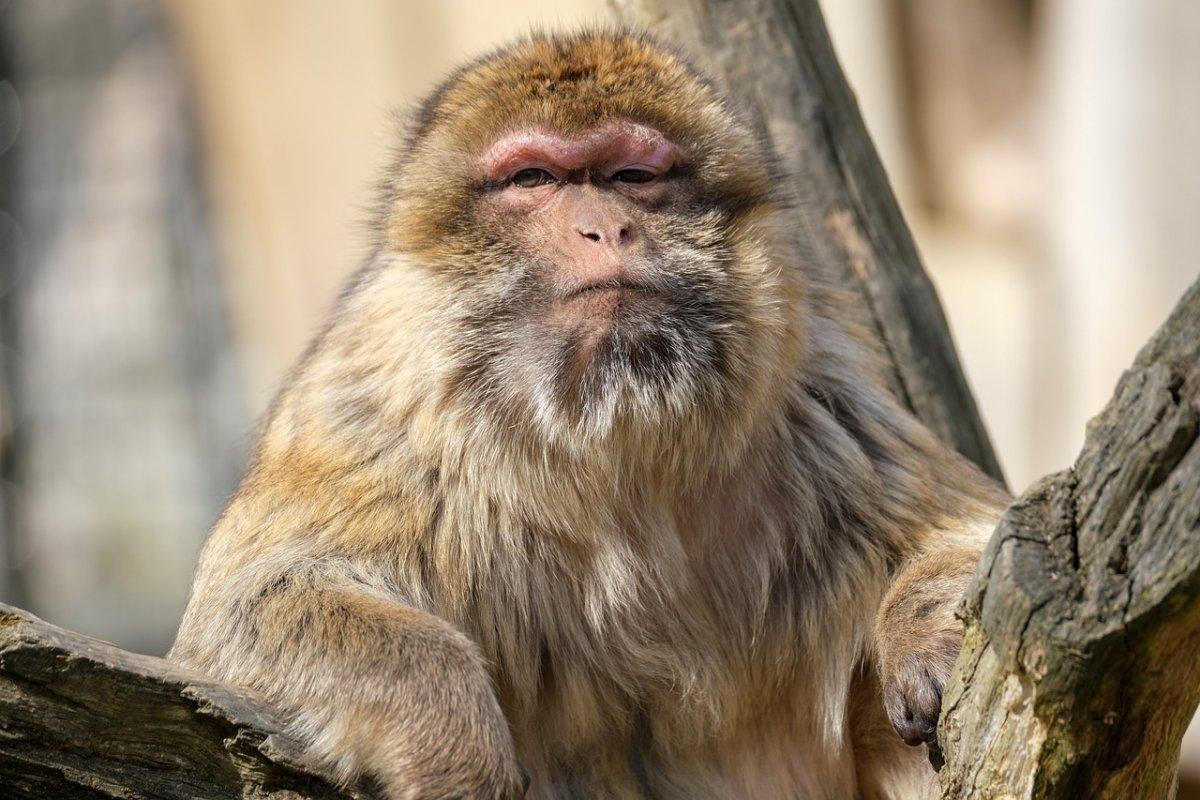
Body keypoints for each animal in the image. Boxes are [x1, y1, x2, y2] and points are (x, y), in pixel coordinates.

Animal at [169, 28, 1012, 800]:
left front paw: (927, 636)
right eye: (534, 178)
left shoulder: (819, 391)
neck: (613, 422)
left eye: (631, 176)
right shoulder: (373, 408)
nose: (605, 227)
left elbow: (966, 528)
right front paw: (455, 746)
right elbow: (243, 610)